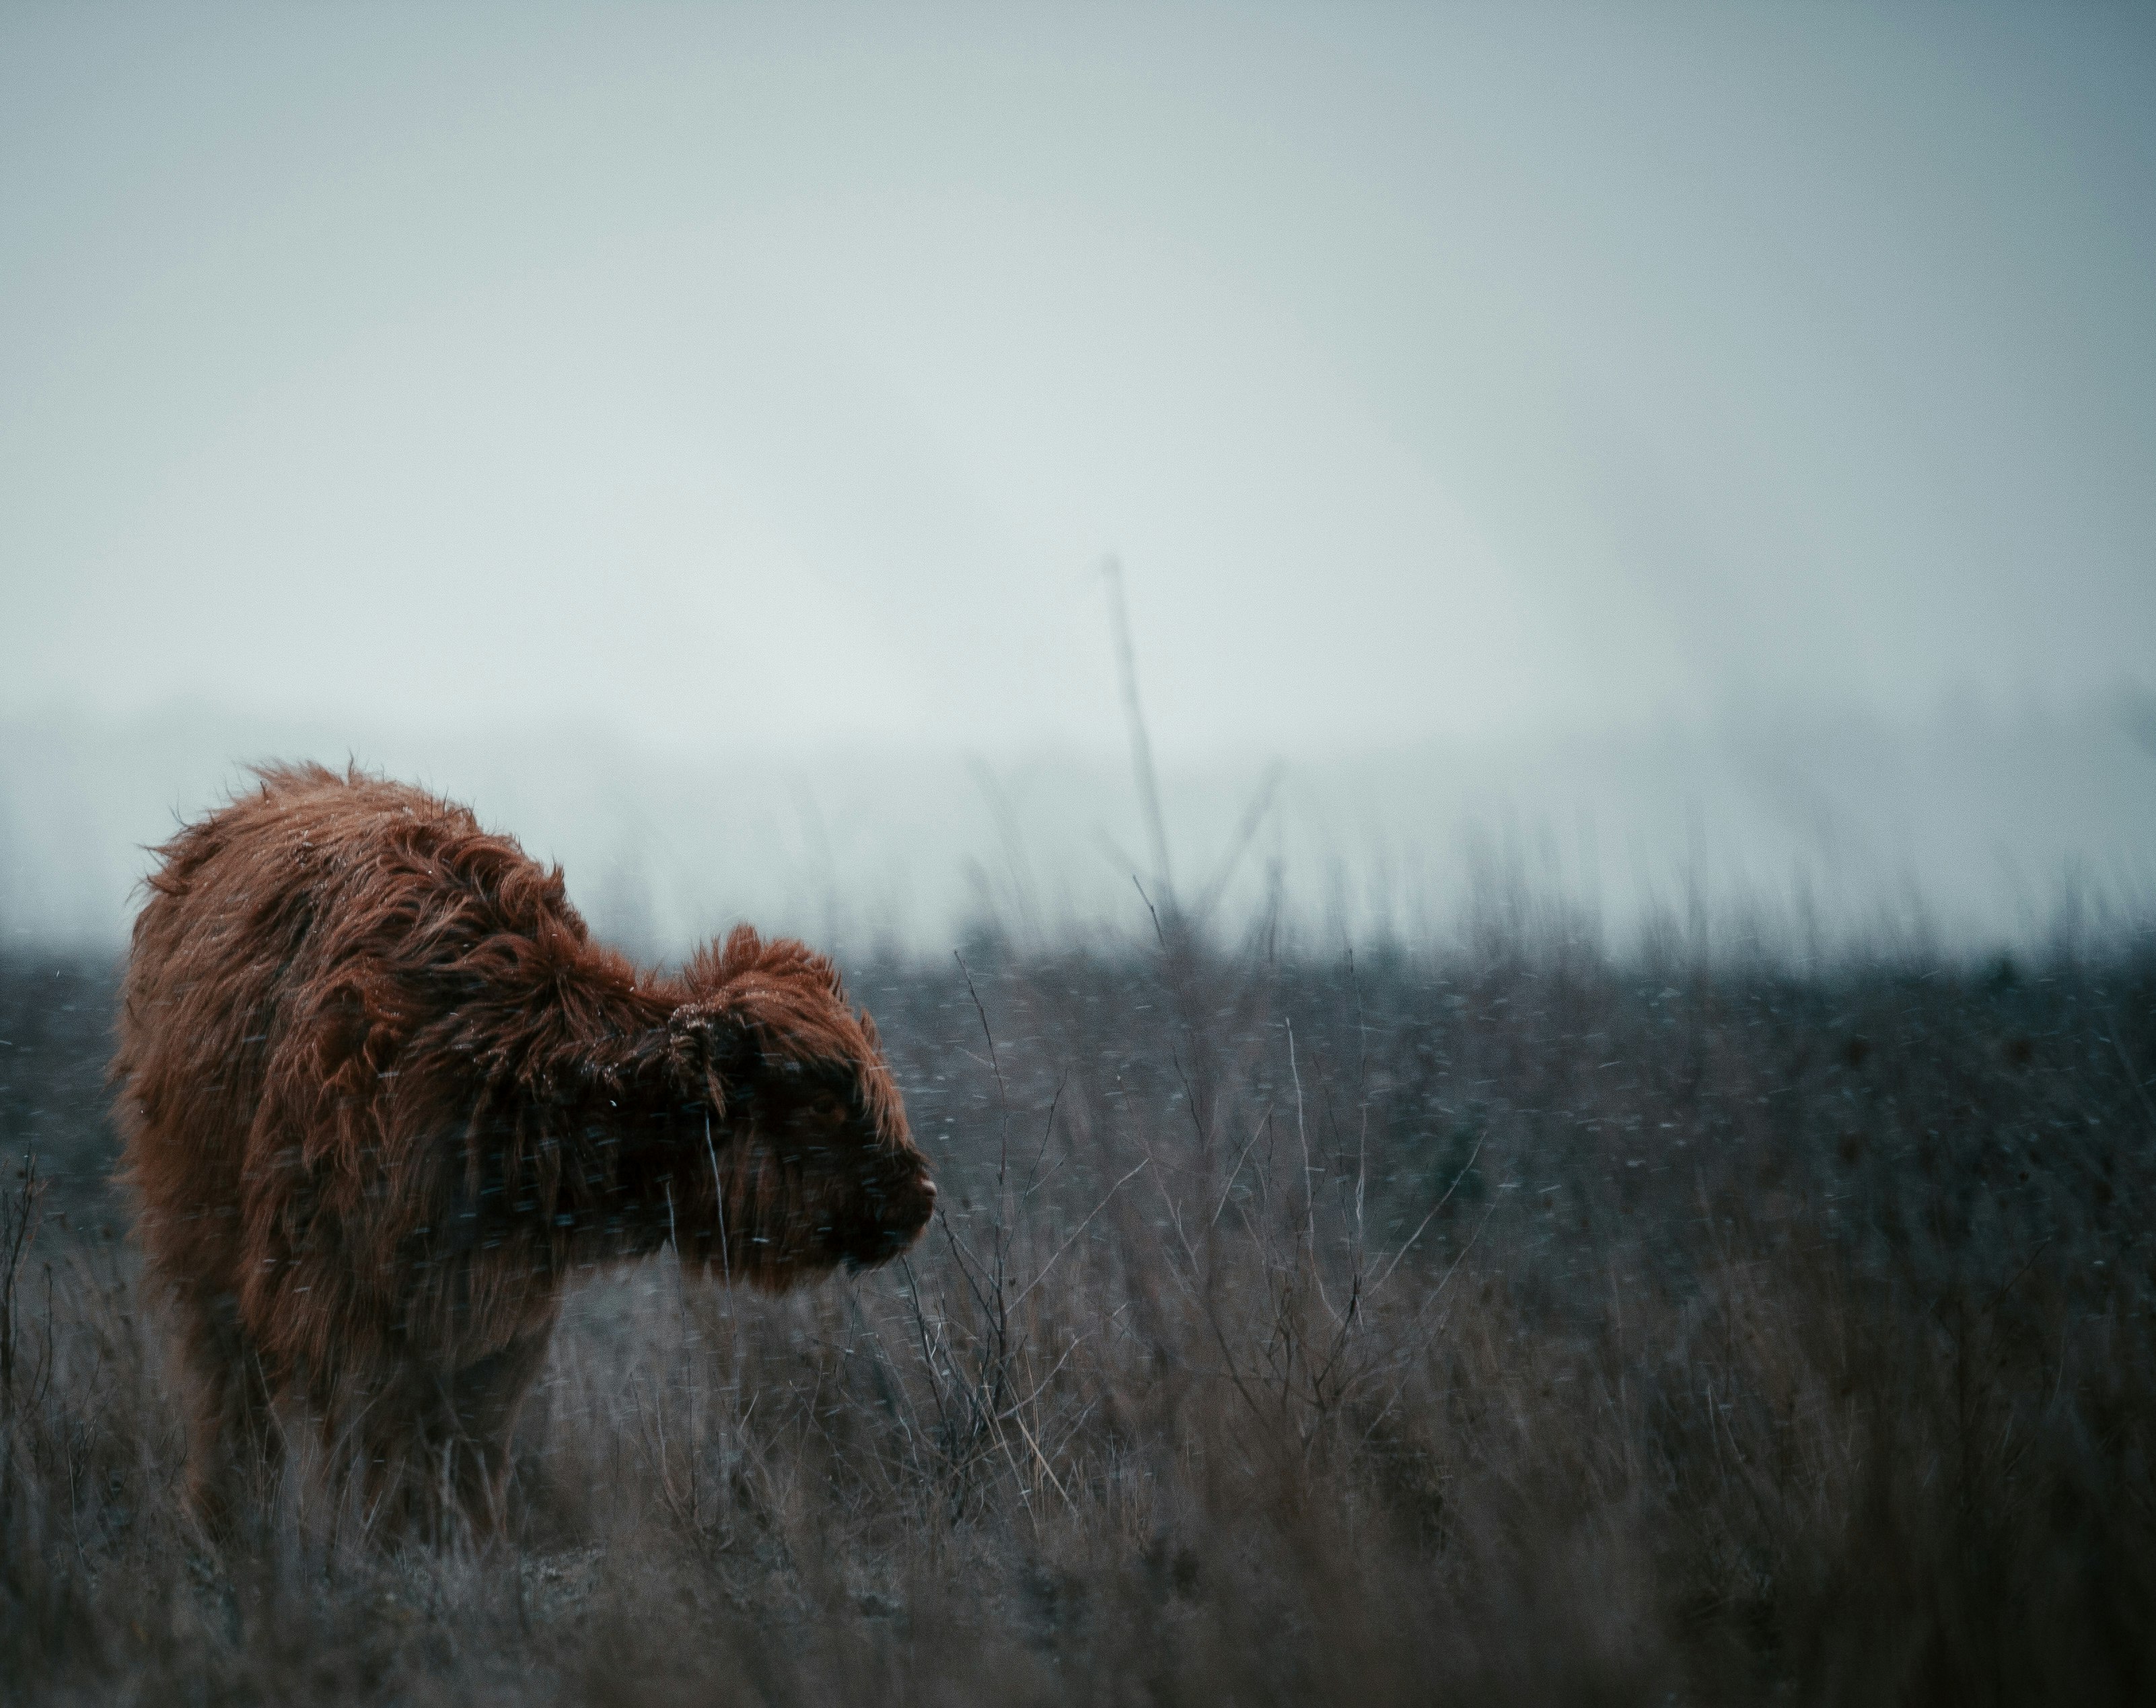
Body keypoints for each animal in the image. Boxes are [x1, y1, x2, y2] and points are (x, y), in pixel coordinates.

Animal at [111, 763, 935, 1535]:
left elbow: (469, 1455)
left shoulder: (495, 1324)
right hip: (203, 1252)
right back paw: (227, 1528)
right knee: (229, 1403)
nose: (921, 1195)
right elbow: (372, 1449)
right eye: (823, 1099)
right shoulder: (341, 1298)